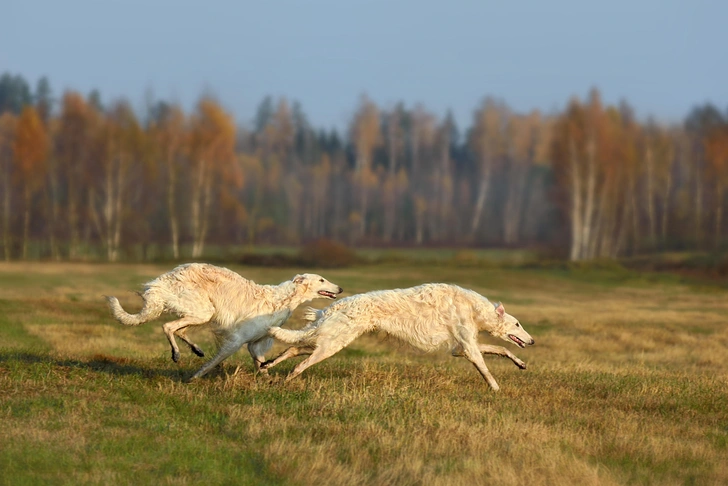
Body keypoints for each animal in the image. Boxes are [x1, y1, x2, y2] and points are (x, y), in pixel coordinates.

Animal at [106, 262, 344, 380]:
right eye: (321, 279)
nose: (340, 289)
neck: (280, 299)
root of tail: (160, 281)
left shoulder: (254, 345)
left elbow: (262, 366)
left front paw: (269, 382)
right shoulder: (236, 341)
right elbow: (213, 363)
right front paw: (193, 378)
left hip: (200, 313)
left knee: (179, 329)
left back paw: (196, 349)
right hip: (202, 310)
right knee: (168, 326)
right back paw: (176, 354)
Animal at [266, 284, 536, 392]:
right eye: (517, 324)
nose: (532, 341)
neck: (473, 307)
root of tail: (334, 306)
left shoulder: (461, 348)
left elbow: (502, 350)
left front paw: (521, 363)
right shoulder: (468, 348)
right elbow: (485, 368)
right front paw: (496, 388)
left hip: (327, 341)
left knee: (293, 350)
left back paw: (268, 366)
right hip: (331, 344)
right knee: (299, 363)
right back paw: (284, 380)